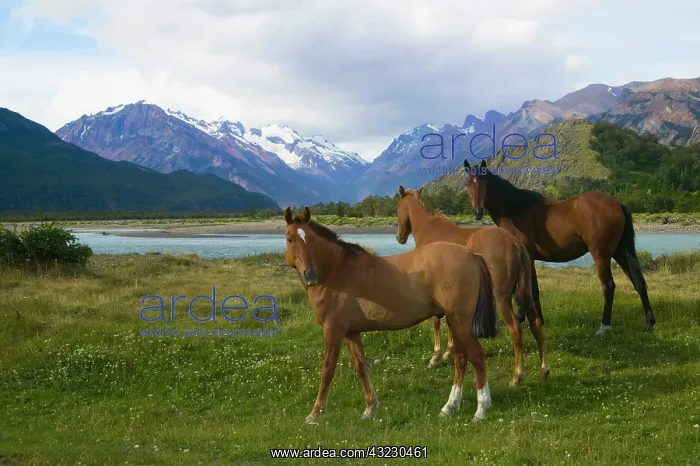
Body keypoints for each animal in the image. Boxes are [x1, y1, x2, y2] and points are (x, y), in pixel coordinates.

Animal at [284, 206, 498, 424]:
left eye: (311, 239)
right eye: (290, 239)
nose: (310, 275)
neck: (337, 271)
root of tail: (471, 254)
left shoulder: (333, 330)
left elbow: (327, 370)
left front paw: (315, 413)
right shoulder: (351, 333)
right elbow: (361, 367)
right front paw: (370, 408)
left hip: (460, 321)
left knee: (476, 356)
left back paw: (481, 410)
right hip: (455, 322)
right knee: (461, 359)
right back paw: (450, 407)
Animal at [396, 186, 549, 385]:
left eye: (397, 209)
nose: (400, 237)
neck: (430, 231)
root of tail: (515, 244)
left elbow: (436, 322)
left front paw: (436, 357)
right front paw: (449, 352)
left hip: (502, 298)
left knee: (516, 329)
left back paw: (517, 376)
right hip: (525, 295)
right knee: (536, 324)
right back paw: (544, 369)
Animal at [464, 159, 656, 335]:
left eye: (484, 183)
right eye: (467, 183)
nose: (478, 212)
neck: (515, 210)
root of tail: (617, 204)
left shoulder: (526, 257)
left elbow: (529, 290)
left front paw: (533, 320)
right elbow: (529, 289)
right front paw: (532, 318)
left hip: (601, 255)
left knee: (608, 286)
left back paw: (604, 326)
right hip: (620, 252)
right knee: (638, 283)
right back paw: (649, 323)